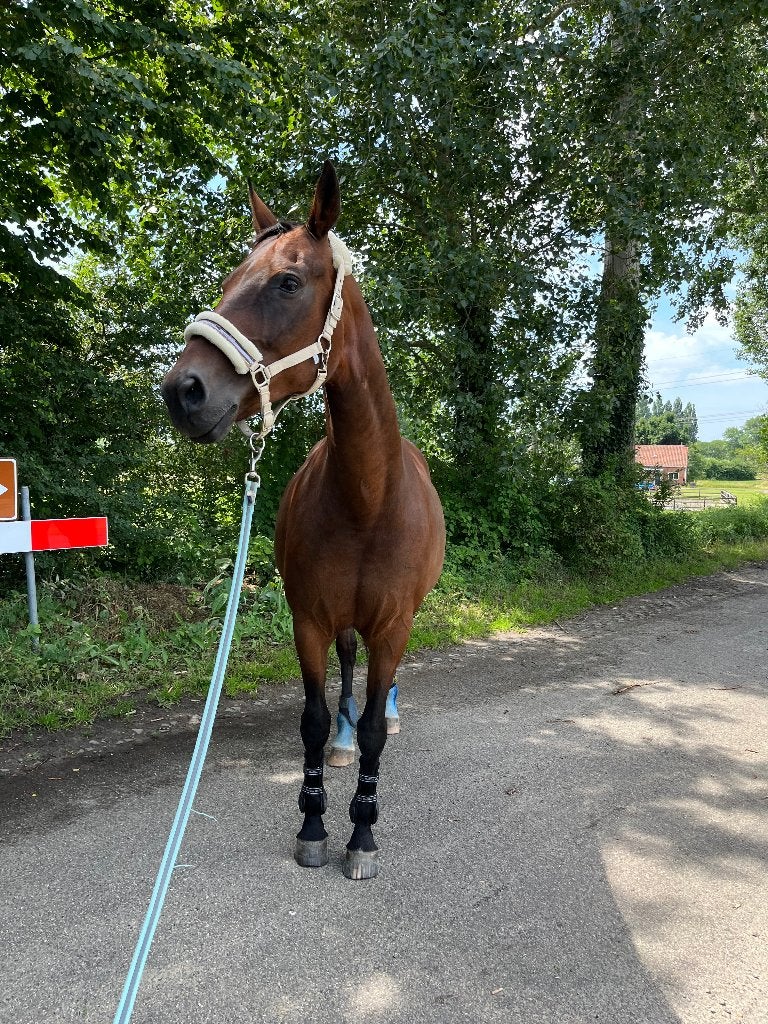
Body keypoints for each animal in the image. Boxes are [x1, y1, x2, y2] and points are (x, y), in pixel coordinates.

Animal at [161, 162, 445, 879]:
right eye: (229, 280)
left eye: (287, 282)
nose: (182, 391)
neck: (367, 499)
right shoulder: (309, 618)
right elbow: (314, 720)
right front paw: (315, 822)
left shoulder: (393, 625)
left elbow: (374, 725)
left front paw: (362, 832)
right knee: (347, 668)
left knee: (376, 691)